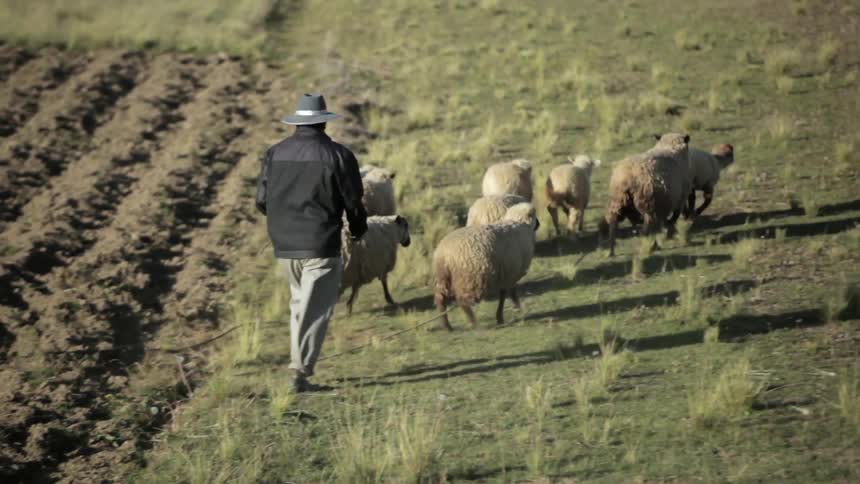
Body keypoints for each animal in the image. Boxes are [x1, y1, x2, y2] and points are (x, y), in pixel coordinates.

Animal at [433, 202, 540, 331]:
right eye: (535, 215)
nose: (539, 224)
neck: (520, 224)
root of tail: (443, 255)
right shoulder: (509, 274)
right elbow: (509, 293)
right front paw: (516, 308)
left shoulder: (504, 275)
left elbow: (503, 294)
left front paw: (501, 316)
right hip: (469, 279)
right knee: (462, 302)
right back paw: (474, 324)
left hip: (444, 278)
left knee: (440, 299)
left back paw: (447, 326)